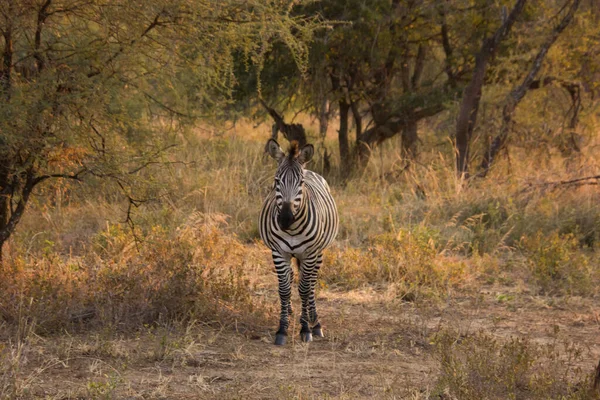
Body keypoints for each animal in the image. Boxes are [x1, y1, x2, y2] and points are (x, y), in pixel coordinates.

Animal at [260, 138, 340, 344]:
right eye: (276, 181)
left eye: (301, 183)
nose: (285, 219)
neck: (293, 229)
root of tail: (308, 168)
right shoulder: (279, 252)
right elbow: (284, 289)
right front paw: (282, 329)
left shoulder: (310, 253)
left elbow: (304, 289)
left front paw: (305, 329)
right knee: (291, 277)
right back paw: (290, 310)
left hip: (318, 253)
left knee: (311, 284)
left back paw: (315, 322)